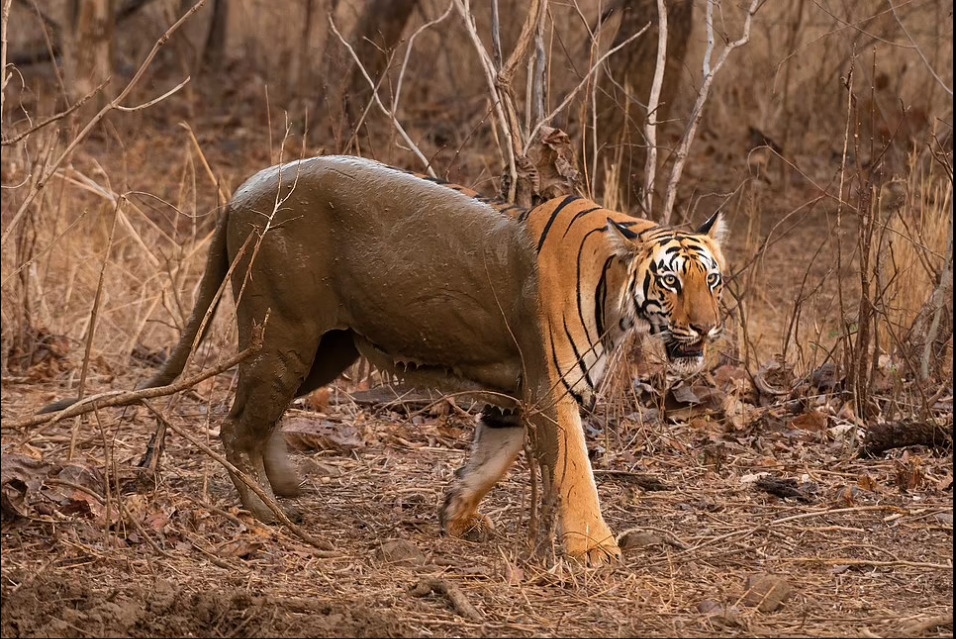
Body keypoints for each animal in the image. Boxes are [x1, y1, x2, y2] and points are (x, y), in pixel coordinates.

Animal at [37, 158, 724, 568]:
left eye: (712, 279)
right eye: (670, 282)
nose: (706, 328)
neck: (619, 300)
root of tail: (239, 193)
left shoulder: (514, 393)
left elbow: (490, 460)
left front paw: (455, 515)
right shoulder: (552, 388)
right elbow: (576, 474)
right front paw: (597, 551)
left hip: (323, 348)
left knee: (257, 415)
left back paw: (287, 486)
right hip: (283, 334)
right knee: (234, 425)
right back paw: (270, 514)